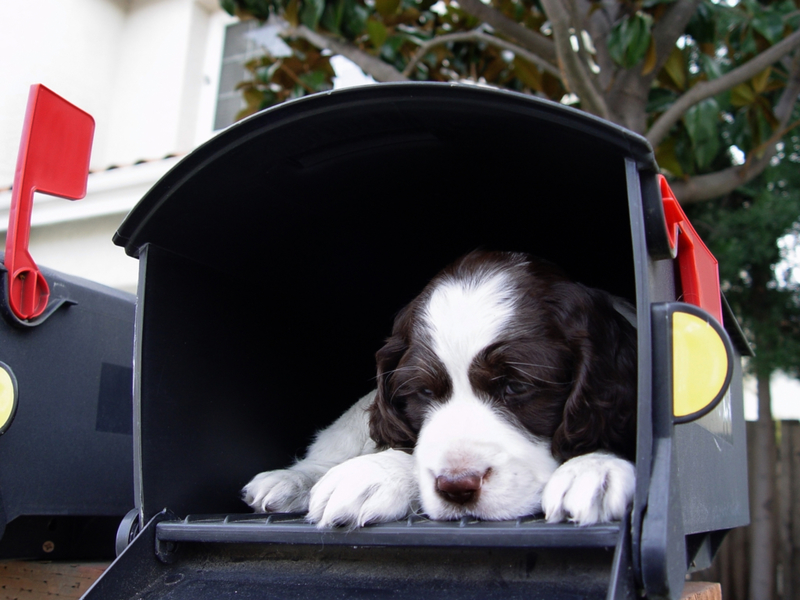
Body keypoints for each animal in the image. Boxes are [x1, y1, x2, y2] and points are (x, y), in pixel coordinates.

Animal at [241, 251, 636, 528]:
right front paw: (372, 473)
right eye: (425, 393)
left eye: (516, 386)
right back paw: (293, 478)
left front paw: (591, 469)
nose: (457, 486)